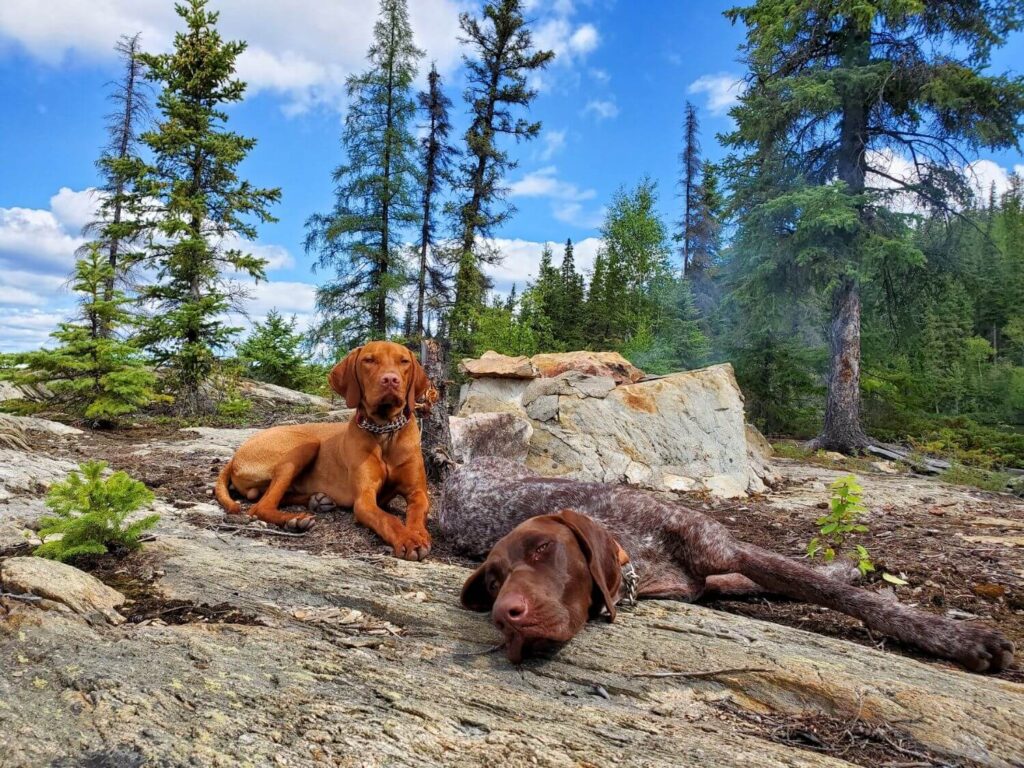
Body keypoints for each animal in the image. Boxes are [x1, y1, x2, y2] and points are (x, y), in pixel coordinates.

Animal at [218, 342, 434, 561]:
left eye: (404, 361)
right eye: (369, 360)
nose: (390, 379)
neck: (385, 432)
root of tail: (236, 455)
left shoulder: (417, 492)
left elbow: (418, 511)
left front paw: (418, 533)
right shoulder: (364, 499)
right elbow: (388, 518)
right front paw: (407, 538)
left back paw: (317, 501)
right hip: (306, 443)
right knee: (260, 506)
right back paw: (295, 520)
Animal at [440, 456, 1015, 671]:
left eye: (543, 550)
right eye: (492, 581)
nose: (506, 614)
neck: (637, 555)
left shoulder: (719, 553)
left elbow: (823, 586)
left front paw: (950, 634)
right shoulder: (706, 580)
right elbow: (788, 582)